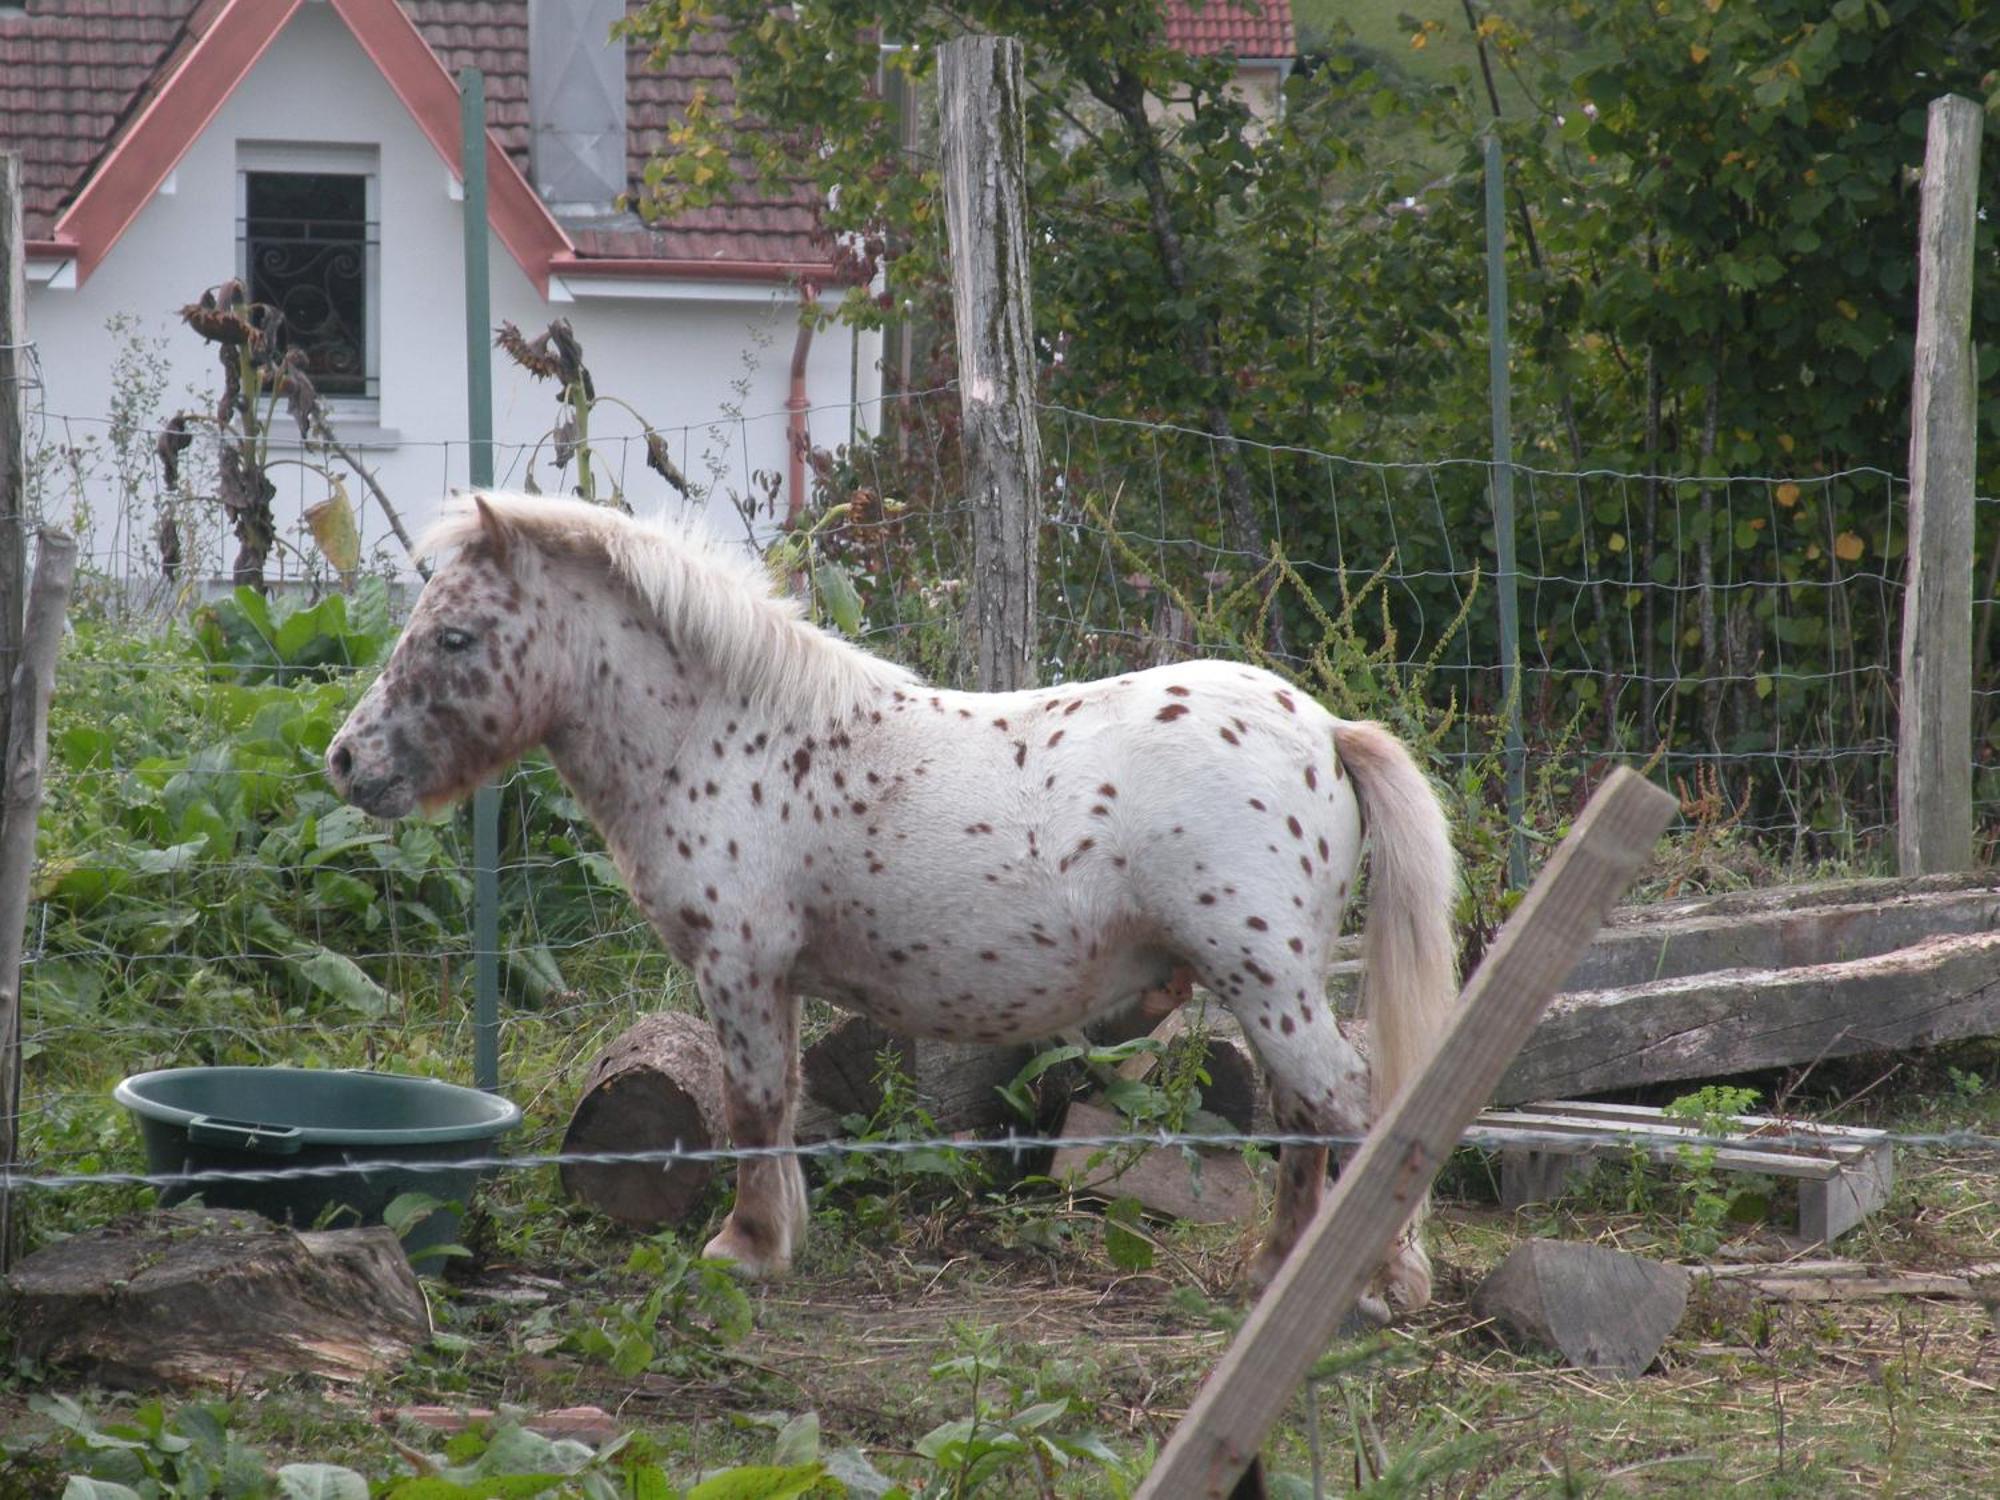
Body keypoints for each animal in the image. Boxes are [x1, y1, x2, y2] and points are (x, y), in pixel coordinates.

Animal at [324, 496, 1456, 1312]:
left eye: (457, 637)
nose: (345, 761)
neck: (722, 731)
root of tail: (1323, 730)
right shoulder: (770, 979)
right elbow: (777, 1104)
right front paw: (777, 1237)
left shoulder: (738, 965)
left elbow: (753, 1102)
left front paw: (744, 1248)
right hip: (1264, 990)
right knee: (1305, 1119)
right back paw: (1278, 1272)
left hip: (1266, 982)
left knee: (1348, 1107)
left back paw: (1382, 1281)